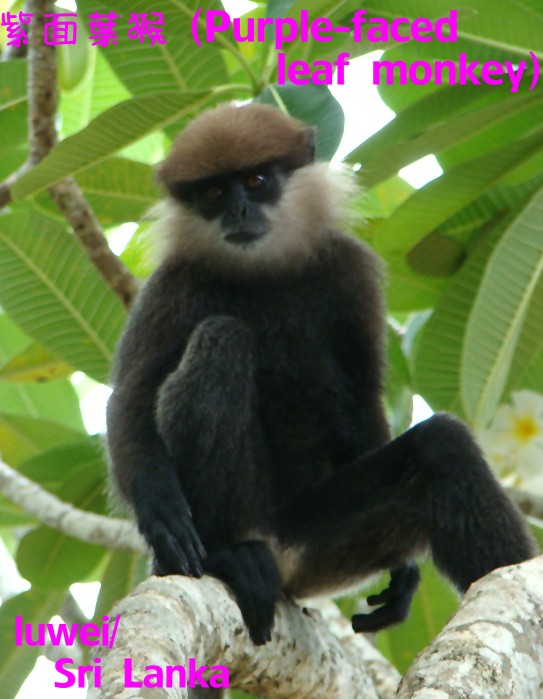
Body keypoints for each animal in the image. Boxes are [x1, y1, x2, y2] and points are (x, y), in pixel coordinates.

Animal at [106, 103, 536, 656]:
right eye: (215, 193)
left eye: (256, 181)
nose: (237, 212)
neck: (263, 271)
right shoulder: (173, 283)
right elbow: (132, 398)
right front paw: (161, 517)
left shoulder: (351, 270)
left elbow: (362, 397)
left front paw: (405, 575)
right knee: (223, 339)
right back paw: (231, 553)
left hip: (323, 545)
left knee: (443, 444)